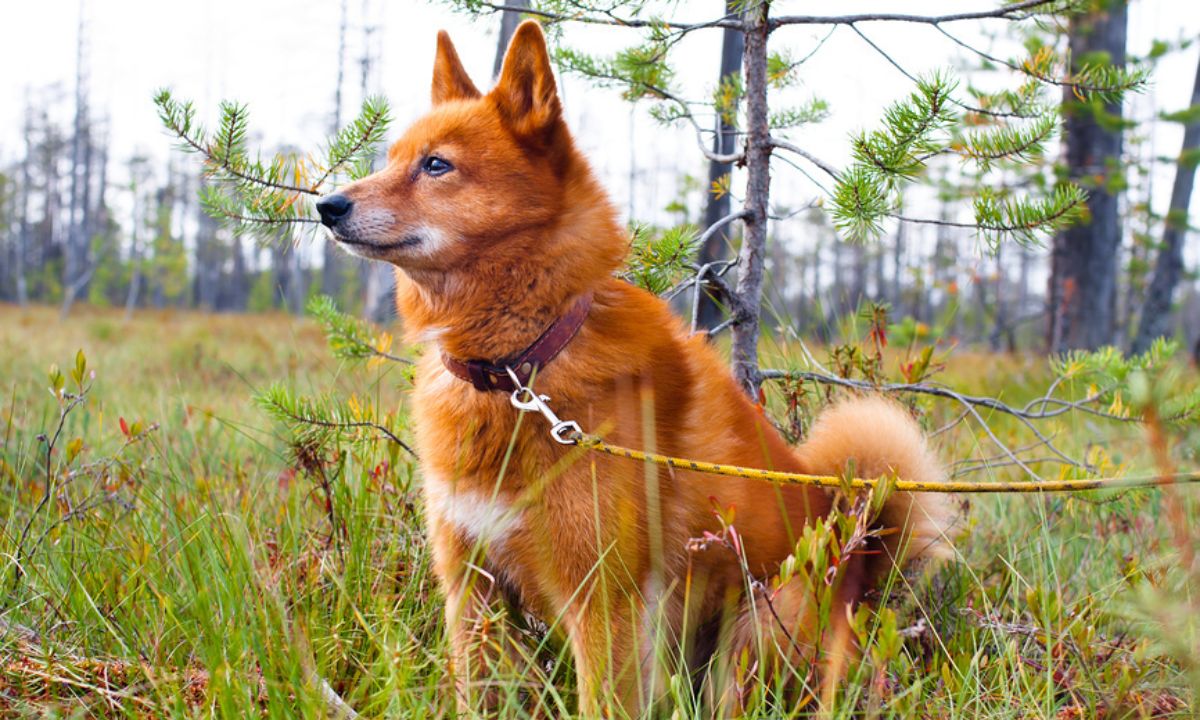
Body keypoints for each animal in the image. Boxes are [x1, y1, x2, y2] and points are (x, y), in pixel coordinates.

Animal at [319, 21, 955, 715]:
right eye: (390, 158)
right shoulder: (472, 594)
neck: (520, 366)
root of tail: (860, 562)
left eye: (436, 165)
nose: (327, 205)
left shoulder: (605, 604)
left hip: (756, 628)